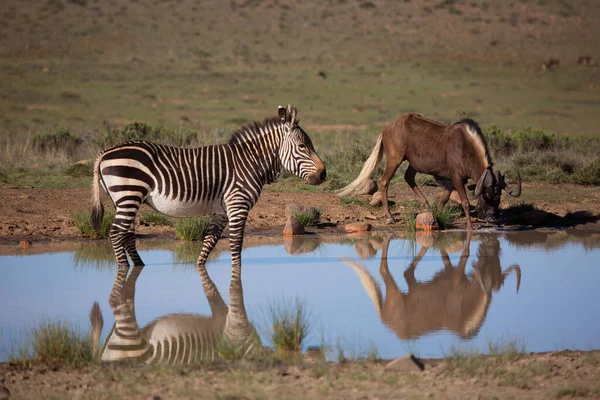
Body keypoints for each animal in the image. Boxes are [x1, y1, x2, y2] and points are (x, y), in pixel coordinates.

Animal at [91, 104, 326, 278]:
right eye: (303, 146)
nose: (323, 174)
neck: (250, 162)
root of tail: (104, 152)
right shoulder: (238, 204)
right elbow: (236, 244)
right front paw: (237, 279)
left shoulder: (222, 211)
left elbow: (209, 242)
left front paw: (201, 270)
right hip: (128, 194)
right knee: (116, 234)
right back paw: (124, 271)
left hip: (125, 200)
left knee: (127, 235)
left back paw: (139, 268)